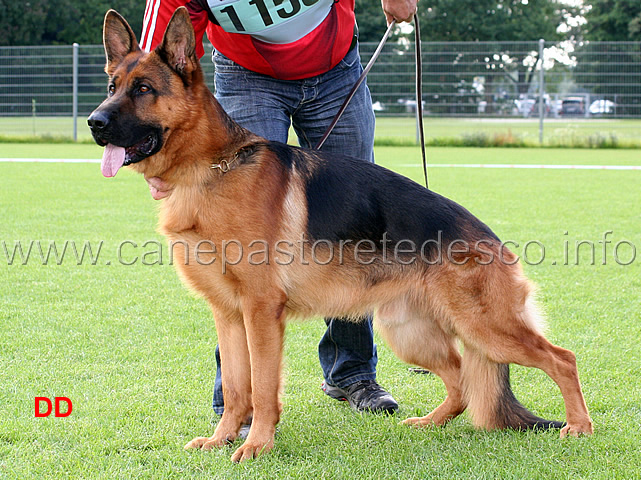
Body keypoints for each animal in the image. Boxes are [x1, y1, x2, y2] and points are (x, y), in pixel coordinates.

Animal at [87, 9, 592, 464]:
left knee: (561, 358)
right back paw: (430, 422)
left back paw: (579, 427)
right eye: (112, 87)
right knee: (463, 379)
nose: (94, 122)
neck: (210, 169)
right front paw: (222, 439)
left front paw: (257, 446)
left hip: (485, 328)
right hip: (410, 333)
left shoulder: (261, 314)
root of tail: (489, 237)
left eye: (144, 89)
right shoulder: (228, 315)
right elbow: (234, 387)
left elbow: (262, 388)